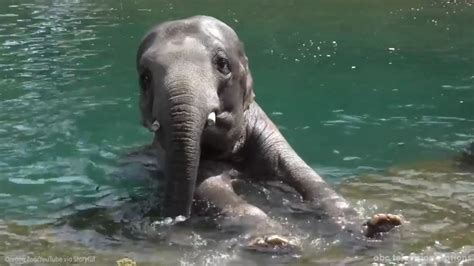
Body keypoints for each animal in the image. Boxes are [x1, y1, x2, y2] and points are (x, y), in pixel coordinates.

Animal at [135, 15, 402, 250]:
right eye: (145, 77)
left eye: (222, 64)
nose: (175, 222)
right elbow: (214, 191)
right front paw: (273, 240)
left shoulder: (268, 134)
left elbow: (308, 178)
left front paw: (380, 224)